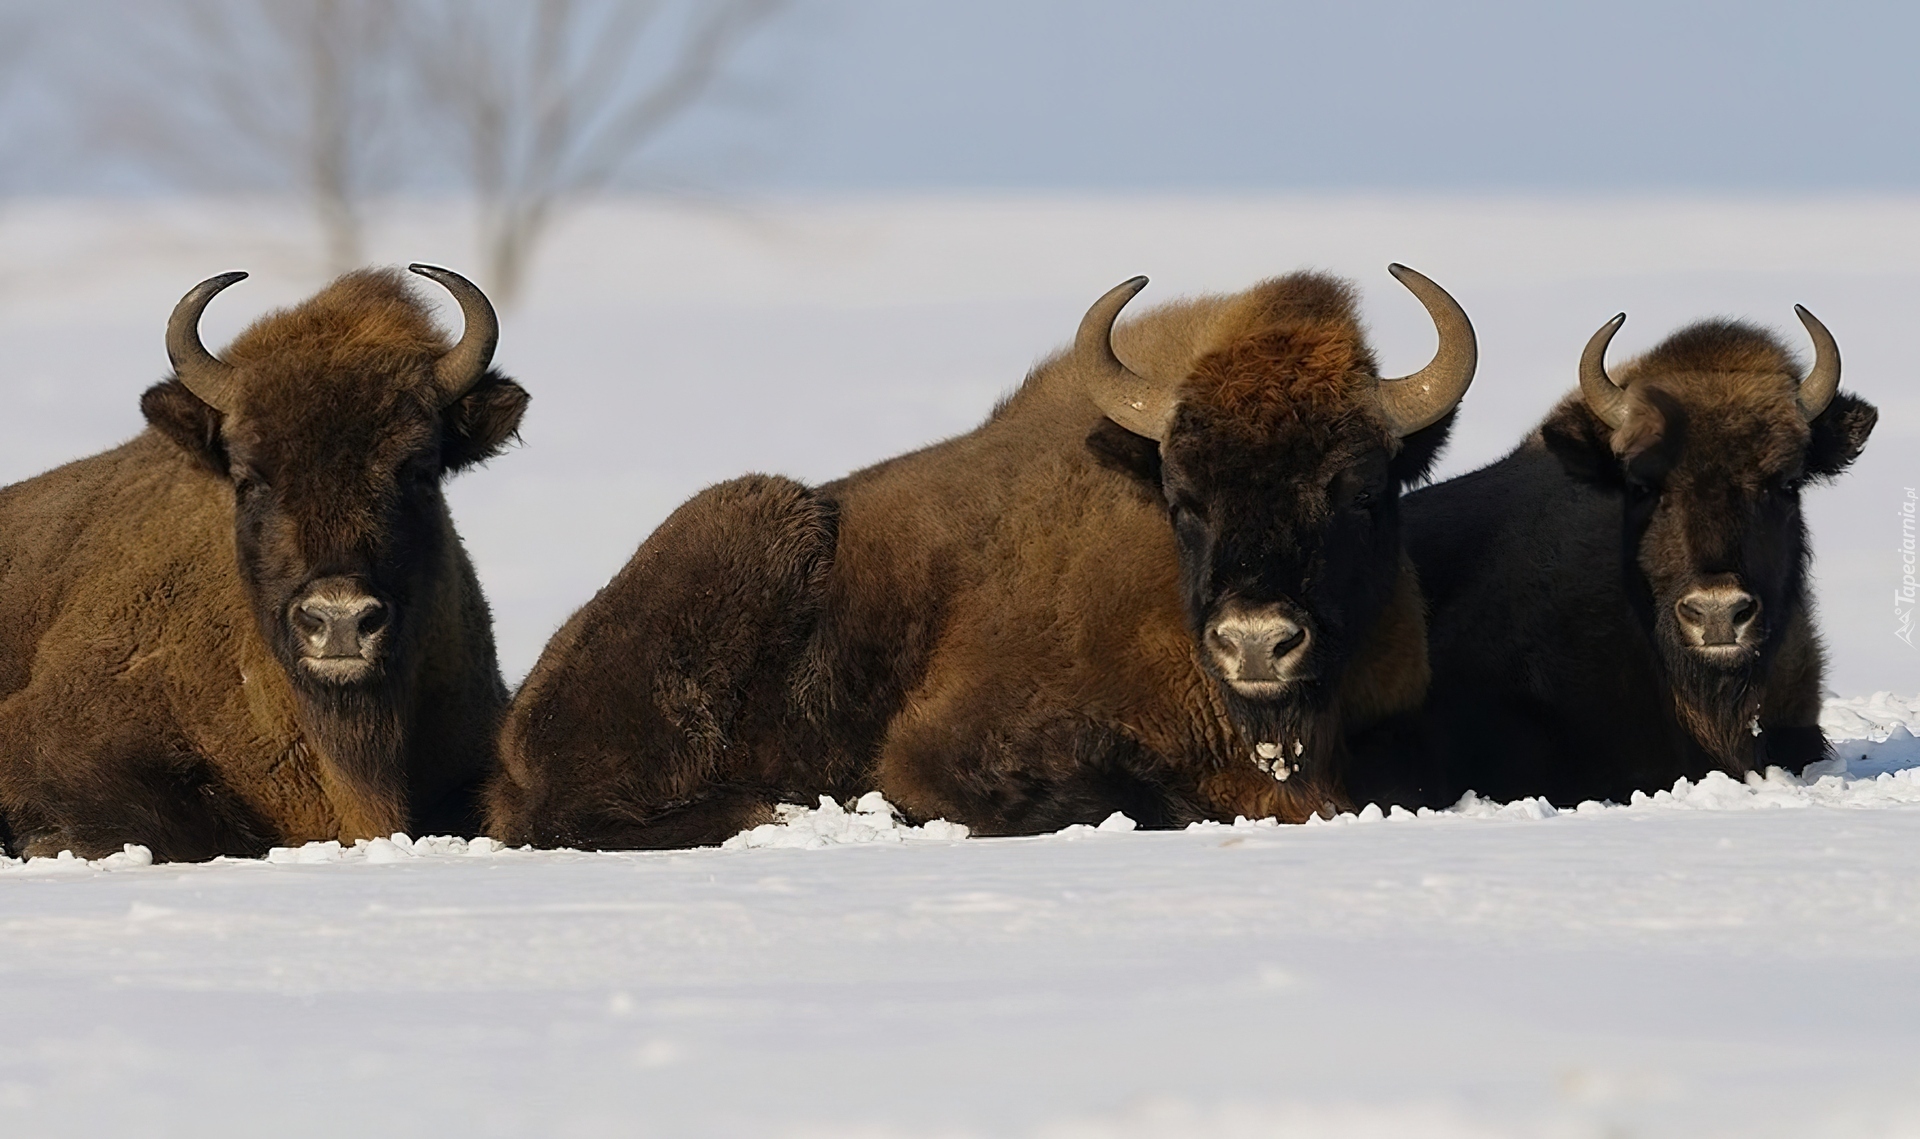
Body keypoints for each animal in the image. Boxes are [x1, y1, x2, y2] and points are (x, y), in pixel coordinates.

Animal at [487, 266, 1474, 848]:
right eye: (1185, 496)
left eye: (1359, 491)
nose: (1257, 641)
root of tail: (524, 712)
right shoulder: (943, 748)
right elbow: (1130, 797)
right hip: (763, 524)